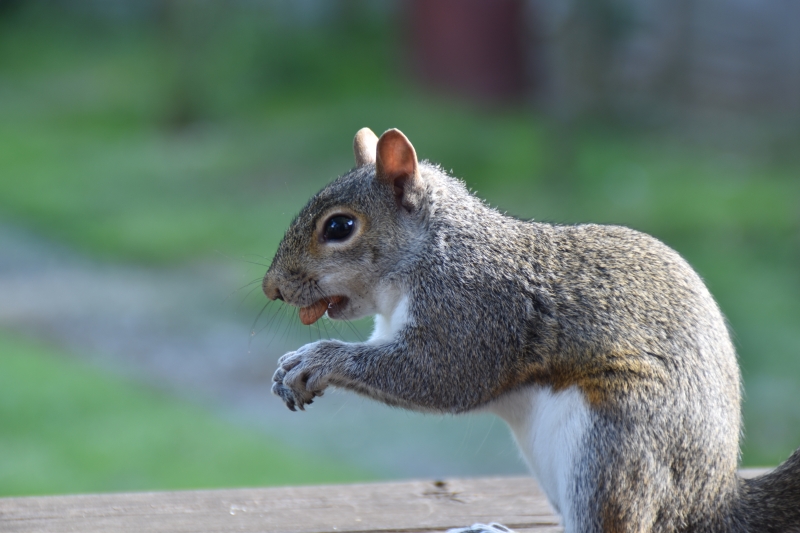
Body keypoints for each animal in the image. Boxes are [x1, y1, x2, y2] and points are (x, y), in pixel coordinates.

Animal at [264, 128, 800, 532]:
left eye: (339, 228)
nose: (271, 288)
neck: (431, 249)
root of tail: (712, 502)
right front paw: (290, 364)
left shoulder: (474, 309)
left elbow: (438, 376)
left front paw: (315, 359)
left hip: (613, 447)